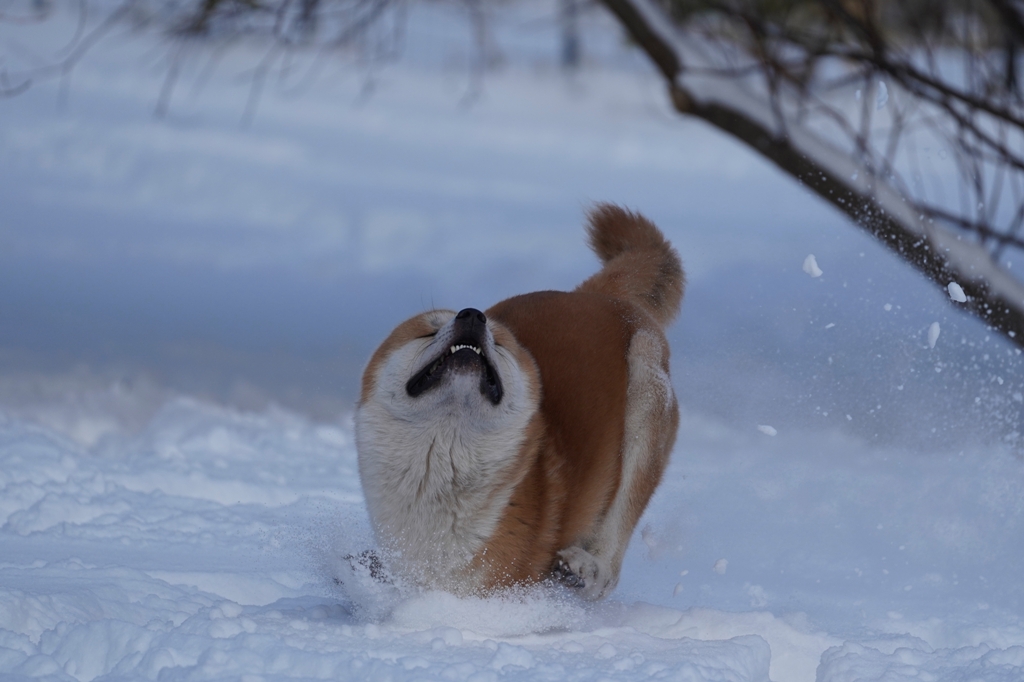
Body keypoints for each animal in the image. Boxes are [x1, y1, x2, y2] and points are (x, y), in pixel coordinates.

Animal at [354, 204, 683, 600]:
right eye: (428, 330)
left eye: (499, 341)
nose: (471, 315)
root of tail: (601, 296)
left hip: (645, 394)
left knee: (612, 556)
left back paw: (586, 569)